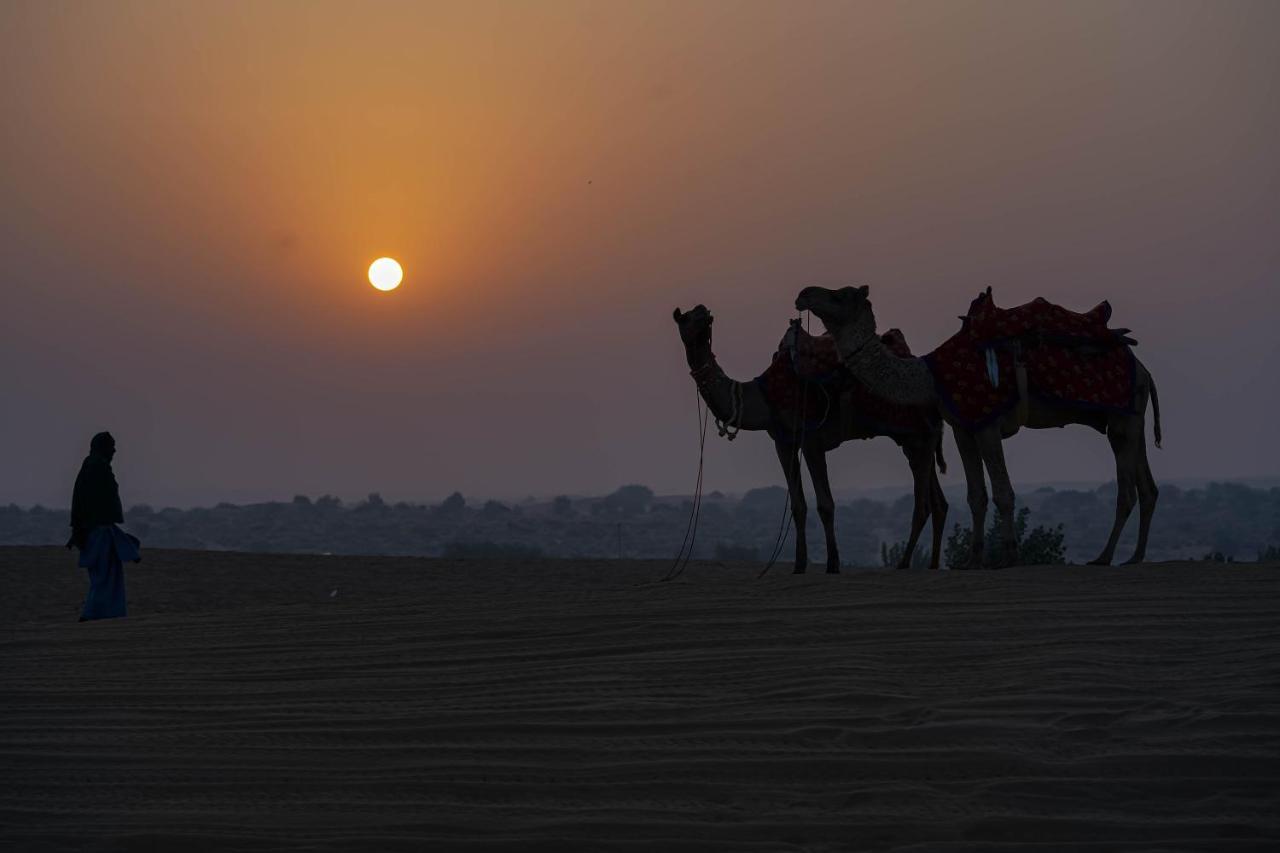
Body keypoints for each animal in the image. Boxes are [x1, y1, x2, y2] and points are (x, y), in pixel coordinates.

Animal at [675, 303, 947, 571]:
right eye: (687, 318)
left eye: (699, 314)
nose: (705, 314)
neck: (765, 396)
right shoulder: (783, 442)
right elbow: (798, 506)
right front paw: (799, 564)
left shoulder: (811, 440)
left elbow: (825, 504)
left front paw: (833, 564)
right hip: (914, 440)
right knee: (938, 502)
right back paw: (932, 564)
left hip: (919, 435)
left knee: (923, 504)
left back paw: (904, 563)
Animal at [788, 281, 1162, 568]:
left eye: (840, 295)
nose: (803, 294)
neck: (929, 376)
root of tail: (1144, 368)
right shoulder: (962, 428)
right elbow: (976, 495)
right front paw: (972, 559)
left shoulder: (986, 422)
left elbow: (1003, 492)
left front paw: (1009, 557)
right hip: (1131, 417)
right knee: (1147, 487)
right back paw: (1135, 557)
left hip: (1123, 419)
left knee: (1127, 491)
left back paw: (1104, 557)